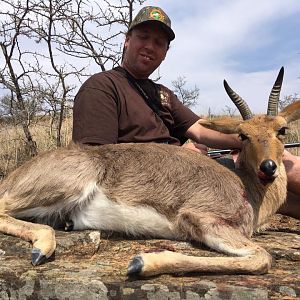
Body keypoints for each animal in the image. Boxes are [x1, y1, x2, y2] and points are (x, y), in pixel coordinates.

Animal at [0, 68, 300, 276]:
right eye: (242, 135)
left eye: (282, 130)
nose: (268, 167)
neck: (246, 186)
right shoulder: (199, 218)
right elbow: (262, 258)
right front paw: (141, 262)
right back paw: (41, 249)